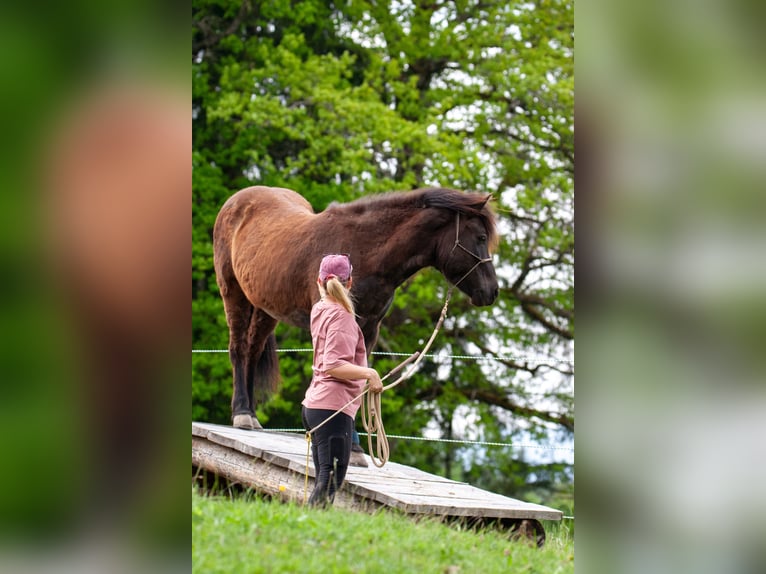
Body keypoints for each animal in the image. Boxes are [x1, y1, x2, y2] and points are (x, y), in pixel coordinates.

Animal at [213, 186, 499, 429]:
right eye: (481, 237)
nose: (492, 291)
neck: (364, 250)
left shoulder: (370, 328)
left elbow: (360, 379)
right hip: (233, 294)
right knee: (238, 348)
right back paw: (242, 414)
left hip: (265, 307)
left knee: (252, 350)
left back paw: (251, 414)